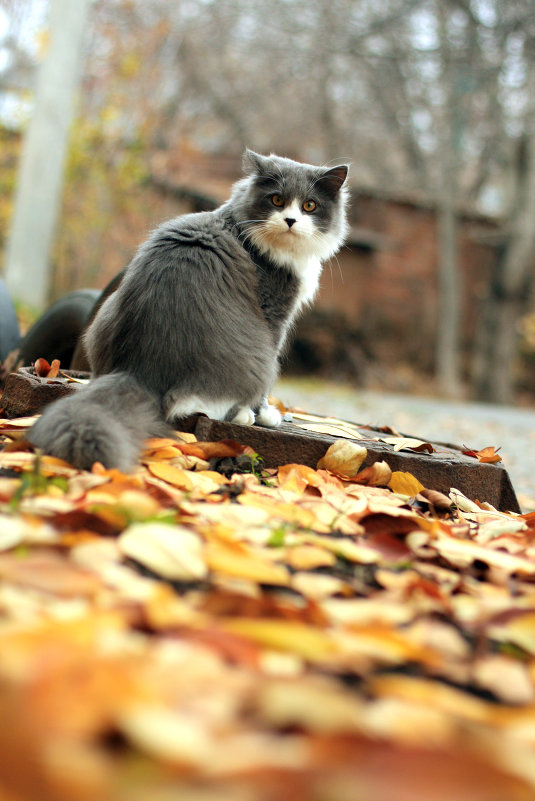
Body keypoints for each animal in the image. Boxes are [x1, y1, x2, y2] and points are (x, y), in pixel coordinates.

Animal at [29, 150, 350, 468]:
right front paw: (266, 415)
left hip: (104, 313)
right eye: (277, 200)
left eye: (309, 205)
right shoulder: (274, 313)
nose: (291, 220)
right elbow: (263, 390)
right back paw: (244, 415)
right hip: (258, 360)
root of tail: (139, 370)